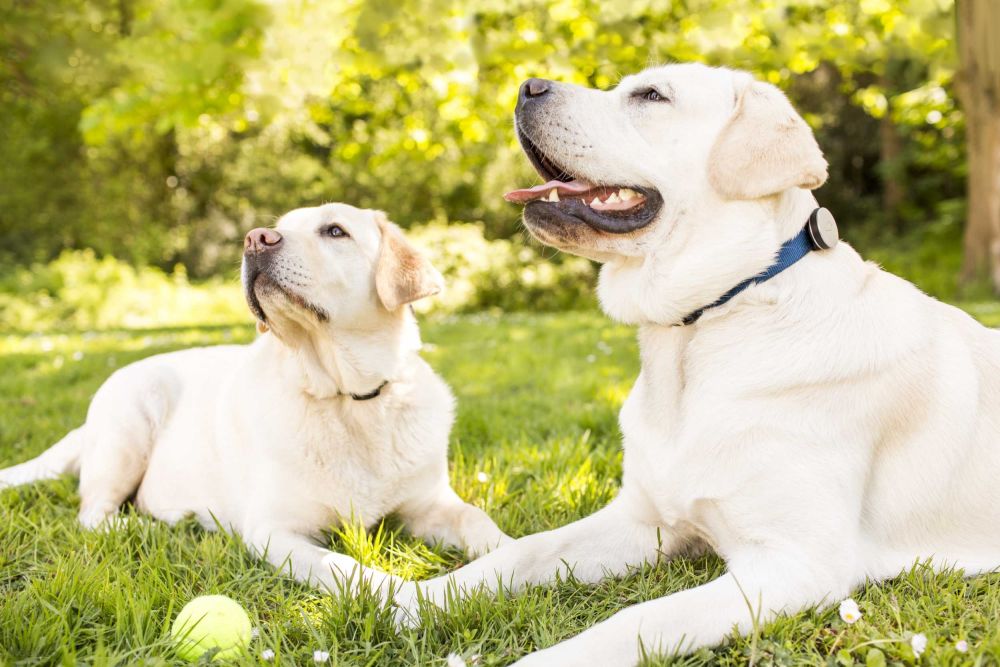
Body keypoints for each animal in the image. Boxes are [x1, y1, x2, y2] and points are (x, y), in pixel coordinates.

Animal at [1, 202, 508, 596]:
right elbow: (343, 565)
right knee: (93, 514)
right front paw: (398, 594)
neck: (350, 398)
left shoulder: (430, 504)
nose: (254, 239)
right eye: (279, 224)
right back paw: (149, 525)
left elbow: (477, 518)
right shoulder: (274, 531)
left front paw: (508, 552)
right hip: (133, 417)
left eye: (335, 230)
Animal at [396, 61, 1000, 664]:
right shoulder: (645, 520)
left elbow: (637, 618)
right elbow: (522, 551)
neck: (707, 325)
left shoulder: (795, 563)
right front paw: (407, 602)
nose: (526, 87)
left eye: (651, 96)